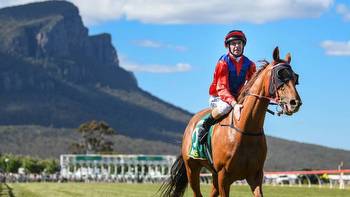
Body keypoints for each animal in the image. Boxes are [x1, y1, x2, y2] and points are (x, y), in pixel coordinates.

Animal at [161, 47, 300, 196]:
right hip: (192, 169)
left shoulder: (255, 176)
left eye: (295, 78)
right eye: (280, 76)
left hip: (213, 175)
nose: (295, 102)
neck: (246, 131)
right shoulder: (224, 176)